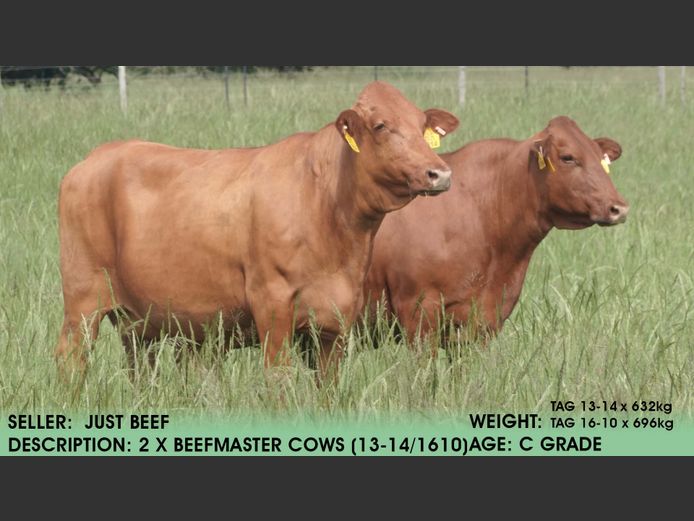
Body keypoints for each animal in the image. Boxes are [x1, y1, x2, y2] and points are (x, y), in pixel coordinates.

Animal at [56, 81, 460, 380]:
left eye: (422, 126)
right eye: (380, 126)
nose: (439, 174)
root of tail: (98, 154)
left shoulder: (336, 321)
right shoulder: (273, 307)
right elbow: (277, 379)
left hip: (138, 322)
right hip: (82, 300)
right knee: (70, 358)